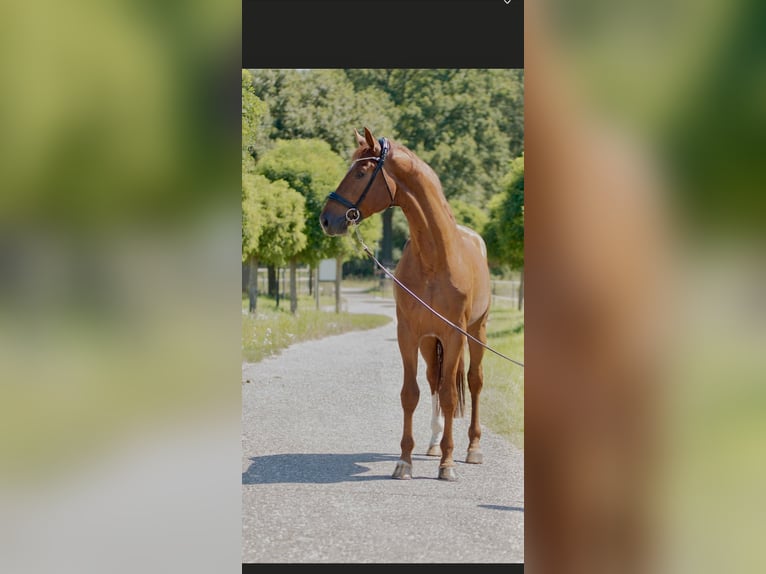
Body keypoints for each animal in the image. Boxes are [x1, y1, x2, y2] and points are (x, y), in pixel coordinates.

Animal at [318, 127, 492, 482]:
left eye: (361, 172)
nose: (327, 219)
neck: (435, 258)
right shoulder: (409, 334)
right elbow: (410, 394)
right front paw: (405, 462)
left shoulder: (454, 335)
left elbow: (452, 396)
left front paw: (448, 465)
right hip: (430, 341)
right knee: (435, 380)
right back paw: (435, 443)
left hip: (476, 332)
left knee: (473, 382)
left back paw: (471, 449)